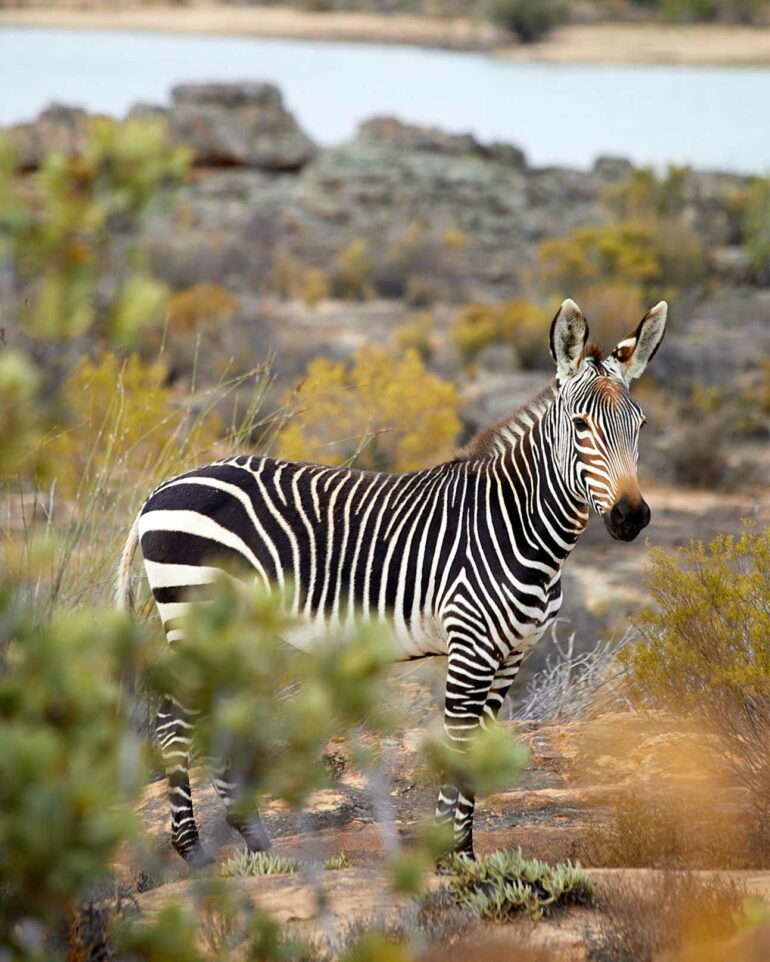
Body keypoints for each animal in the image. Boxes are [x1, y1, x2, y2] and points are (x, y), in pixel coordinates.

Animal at [116, 298, 667, 866]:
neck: (518, 523)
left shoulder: (512, 653)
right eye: (580, 424)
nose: (631, 517)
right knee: (172, 728)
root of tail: (160, 490)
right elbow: (458, 746)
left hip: (230, 630)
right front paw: (446, 854)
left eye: (641, 424)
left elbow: (478, 752)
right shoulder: (470, 644)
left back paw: (260, 847)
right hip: (195, 616)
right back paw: (194, 852)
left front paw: (464, 855)